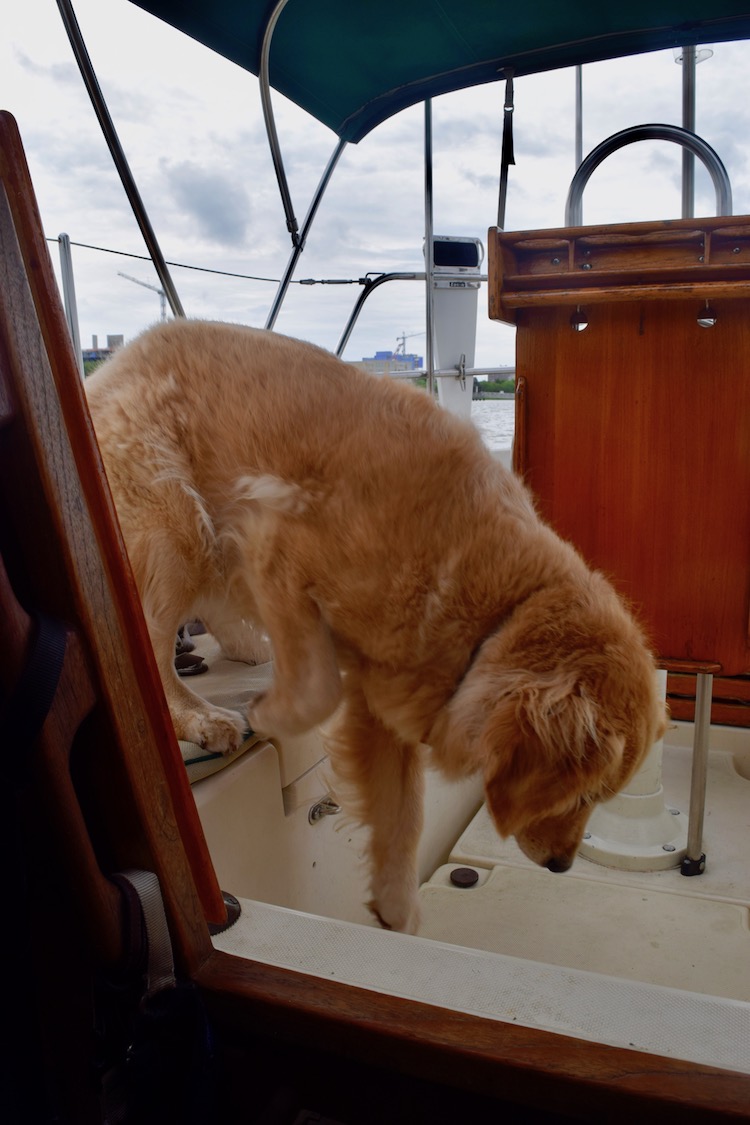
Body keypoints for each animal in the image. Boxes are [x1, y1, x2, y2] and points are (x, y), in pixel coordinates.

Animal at [88, 317, 670, 931]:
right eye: (581, 796)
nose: (561, 865)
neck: (491, 597)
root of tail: (117, 359)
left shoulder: (390, 698)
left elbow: (403, 813)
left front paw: (396, 907)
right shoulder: (274, 539)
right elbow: (318, 689)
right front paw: (271, 713)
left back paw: (246, 652)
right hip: (177, 522)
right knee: (150, 646)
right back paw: (198, 718)